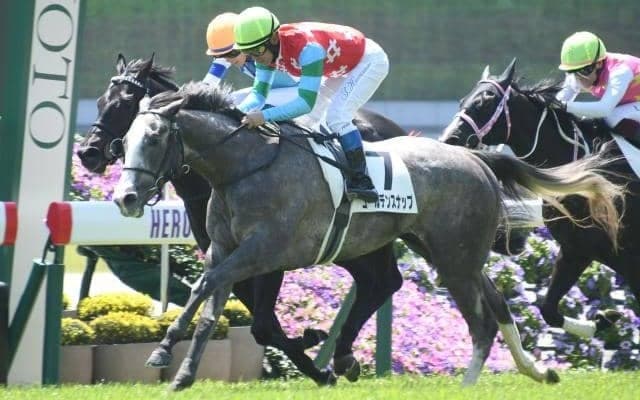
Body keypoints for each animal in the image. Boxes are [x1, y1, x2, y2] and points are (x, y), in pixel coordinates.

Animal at [77, 54, 411, 384]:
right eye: (100, 101)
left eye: (124, 103)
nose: (87, 153)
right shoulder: (227, 255)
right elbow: (260, 323)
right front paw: (313, 355)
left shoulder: (268, 254)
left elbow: (262, 325)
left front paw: (313, 350)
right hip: (354, 244)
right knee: (380, 282)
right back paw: (344, 357)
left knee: (384, 281)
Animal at [113, 81, 624, 390]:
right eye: (126, 140)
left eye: (154, 139)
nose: (126, 198)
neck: (244, 167)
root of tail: (475, 157)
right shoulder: (226, 248)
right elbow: (207, 299)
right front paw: (176, 366)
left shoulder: (266, 251)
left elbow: (211, 289)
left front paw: (167, 355)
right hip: (446, 251)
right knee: (494, 304)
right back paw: (536, 371)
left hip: (454, 258)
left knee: (478, 320)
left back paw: (464, 384)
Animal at [439, 59, 639, 339]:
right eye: (462, 102)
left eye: (485, 102)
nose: (449, 139)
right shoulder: (576, 249)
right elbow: (548, 310)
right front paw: (604, 319)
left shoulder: (628, 258)